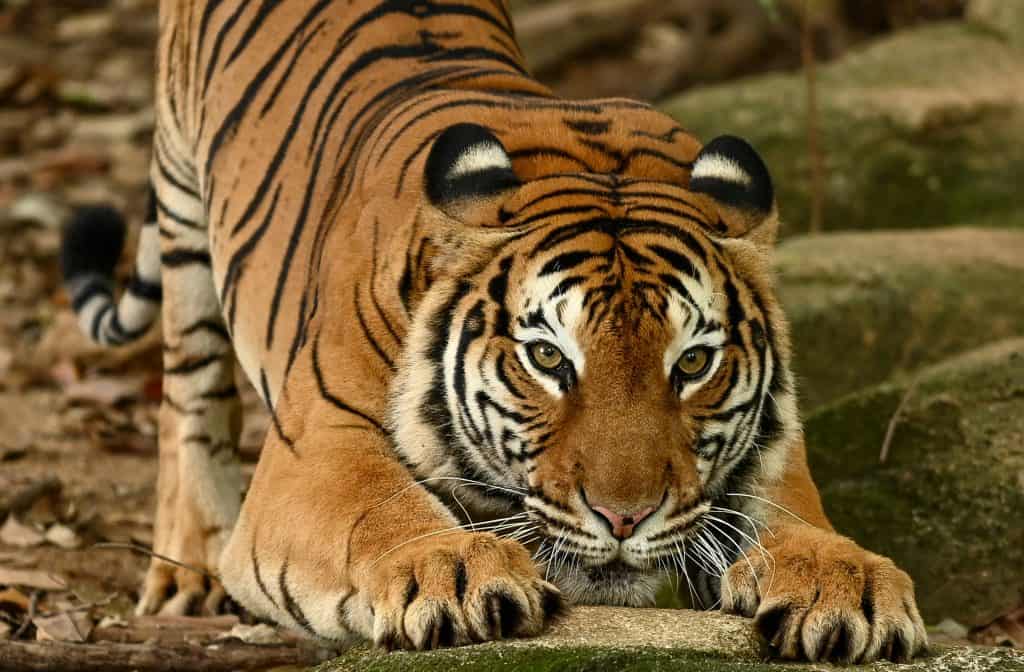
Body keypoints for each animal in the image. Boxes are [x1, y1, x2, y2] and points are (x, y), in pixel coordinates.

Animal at [59, 0, 927, 662]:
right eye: (547, 358)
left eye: (692, 364)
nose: (625, 519)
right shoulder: (317, 453)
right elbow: (381, 509)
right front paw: (450, 569)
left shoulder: (774, 453)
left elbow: (800, 522)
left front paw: (847, 583)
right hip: (182, 203)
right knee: (188, 392)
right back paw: (187, 570)